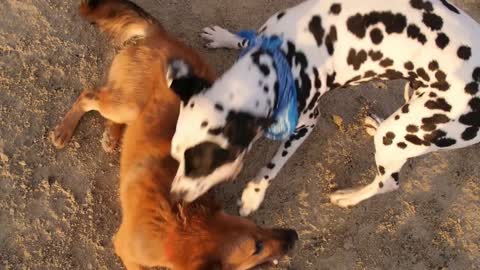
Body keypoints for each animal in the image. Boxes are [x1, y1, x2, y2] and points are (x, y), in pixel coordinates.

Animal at [49, 0, 296, 270]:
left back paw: (112, 136)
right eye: (256, 248)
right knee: (88, 95)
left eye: (256, 226)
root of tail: (162, 35)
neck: (184, 231)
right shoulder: (126, 251)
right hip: (127, 104)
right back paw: (65, 130)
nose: (293, 235)